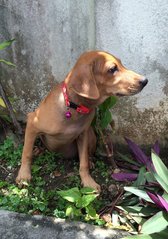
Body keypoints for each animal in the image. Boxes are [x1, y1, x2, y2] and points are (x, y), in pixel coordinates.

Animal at [15, 51, 147, 191]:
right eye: (112, 69)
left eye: (121, 64)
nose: (145, 80)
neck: (75, 107)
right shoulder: (32, 121)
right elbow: (26, 153)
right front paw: (24, 175)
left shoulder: (83, 135)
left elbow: (83, 163)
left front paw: (88, 182)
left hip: (91, 135)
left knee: (87, 155)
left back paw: (91, 161)